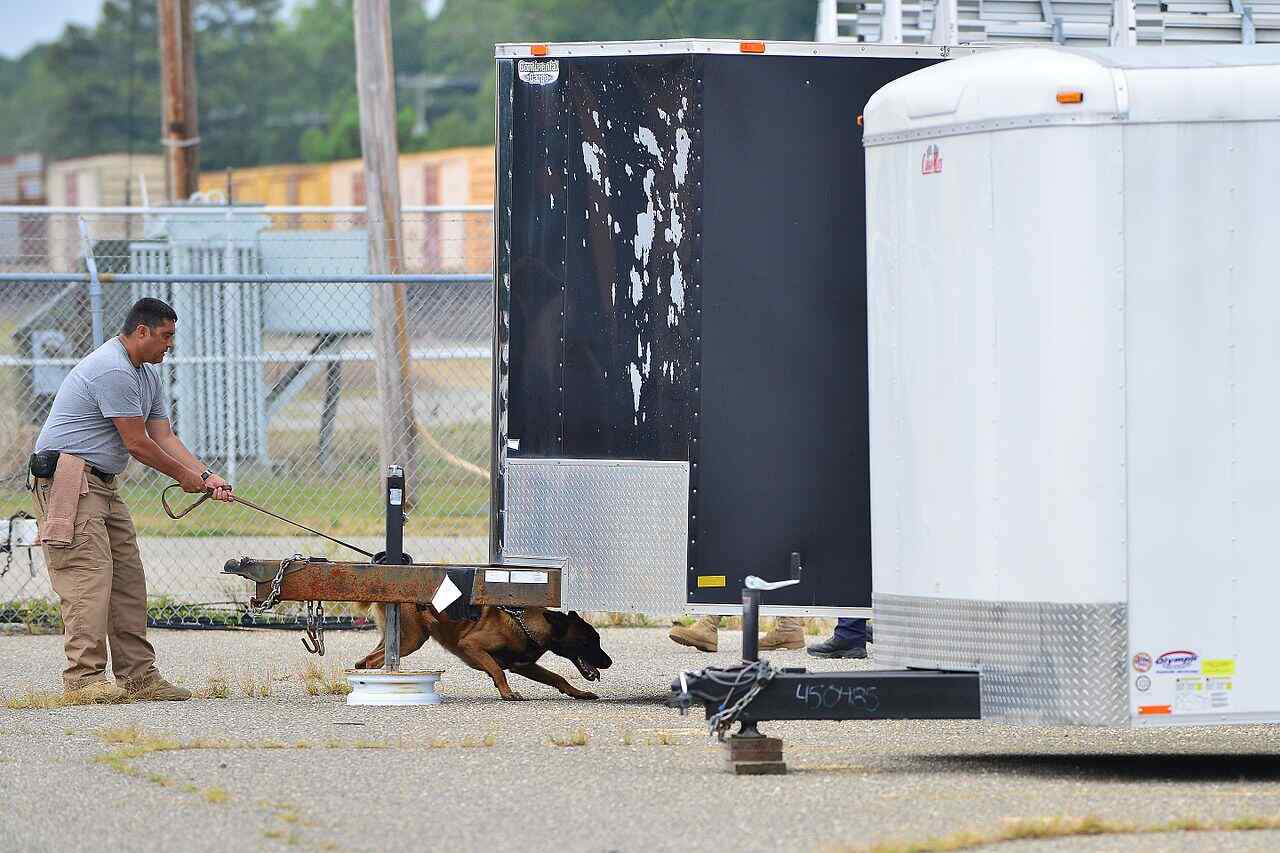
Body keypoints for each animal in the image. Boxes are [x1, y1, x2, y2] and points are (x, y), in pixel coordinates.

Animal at [354, 604, 612, 701]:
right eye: (588, 642)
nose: (609, 662)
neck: (524, 624)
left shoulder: (525, 665)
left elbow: (557, 678)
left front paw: (578, 693)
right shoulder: (471, 645)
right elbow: (498, 671)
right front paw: (507, 693)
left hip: (399, 640)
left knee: (364, 661)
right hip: (411, 640)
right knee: (371, 662)